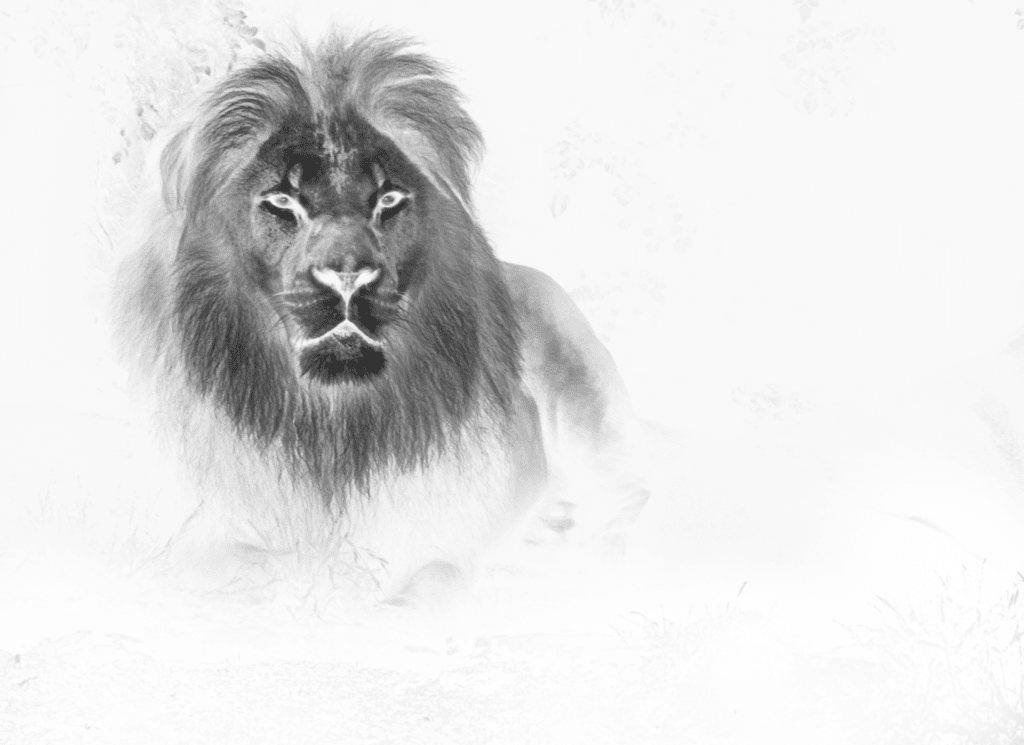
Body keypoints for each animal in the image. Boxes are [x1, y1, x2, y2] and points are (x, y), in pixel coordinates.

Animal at [113, 31, 650, 603]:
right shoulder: (197, 534)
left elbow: (431, 578)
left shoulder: (442, 543)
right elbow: (229, 566)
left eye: (388, 199)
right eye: (282, 201)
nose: (349, 276)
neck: (332, 422)